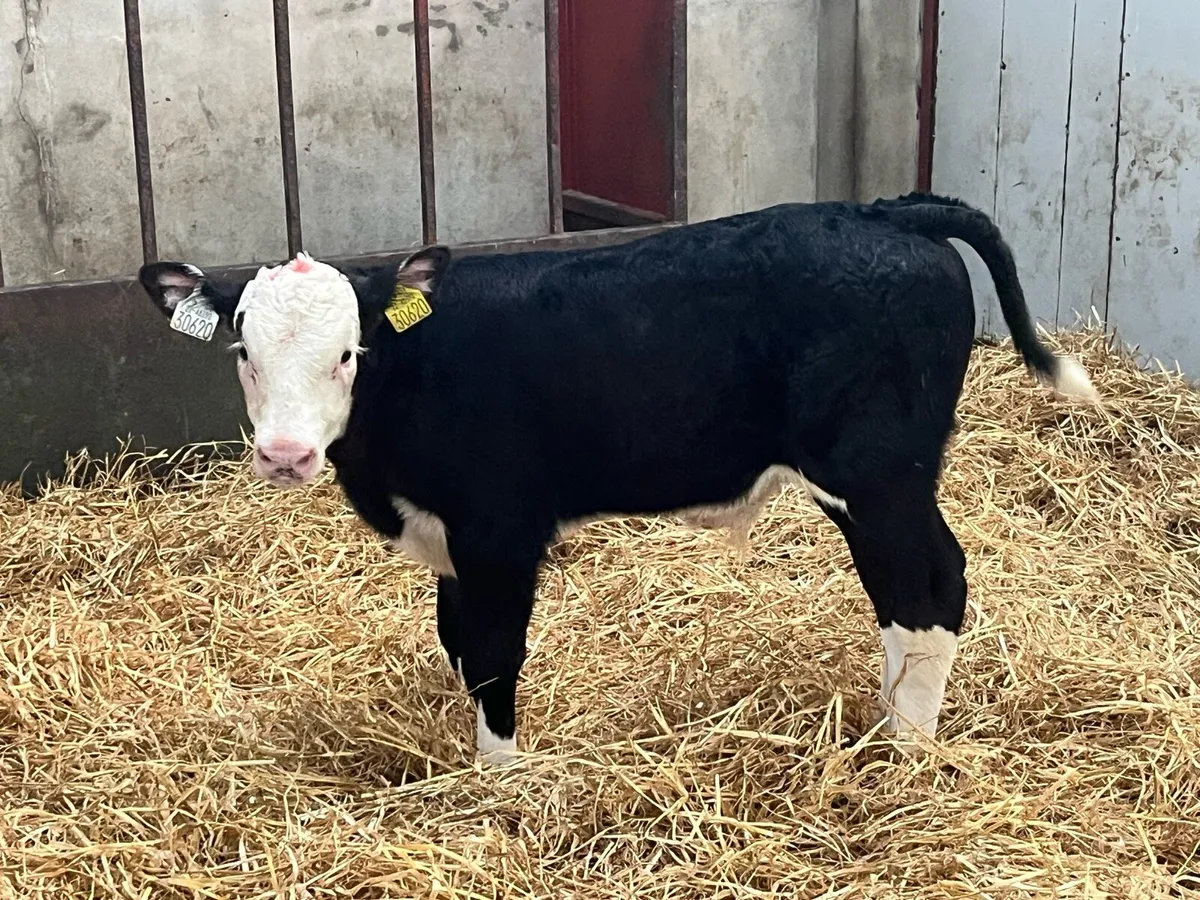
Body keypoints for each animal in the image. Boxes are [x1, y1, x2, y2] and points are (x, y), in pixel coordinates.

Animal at [139, 193, 1098, 764]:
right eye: (242, 348)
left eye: (349, 352)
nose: (285, 454)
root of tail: (885, 211)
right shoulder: (451, 542)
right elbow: (456, 642)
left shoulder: (499, 532)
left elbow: (493, 653)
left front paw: (498, 778)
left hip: (879, 477)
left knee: (929, 586)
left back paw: (906, 749)